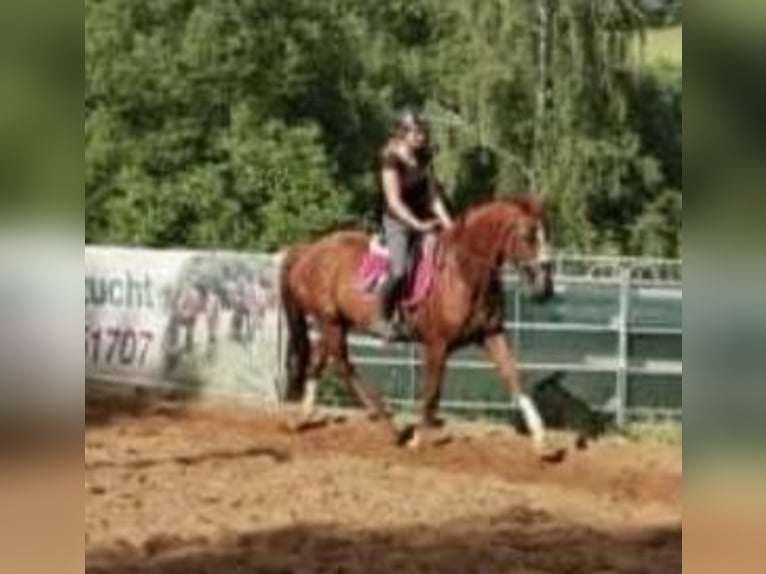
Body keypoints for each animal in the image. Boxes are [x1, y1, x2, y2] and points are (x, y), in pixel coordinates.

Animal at [280, 196, 556, 456]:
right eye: (528, 236)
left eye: (546, 233)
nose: (545, 287)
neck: (462, 273)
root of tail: (307, 251)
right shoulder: (436, 344)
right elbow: (432, 392)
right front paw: (418, 440)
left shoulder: (491, 334)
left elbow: (514, 377)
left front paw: (542, 441)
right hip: (330, 322)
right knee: (343, 366)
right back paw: (389, 425)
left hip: (334, 323)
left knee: (320, 361)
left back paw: (302, 418)